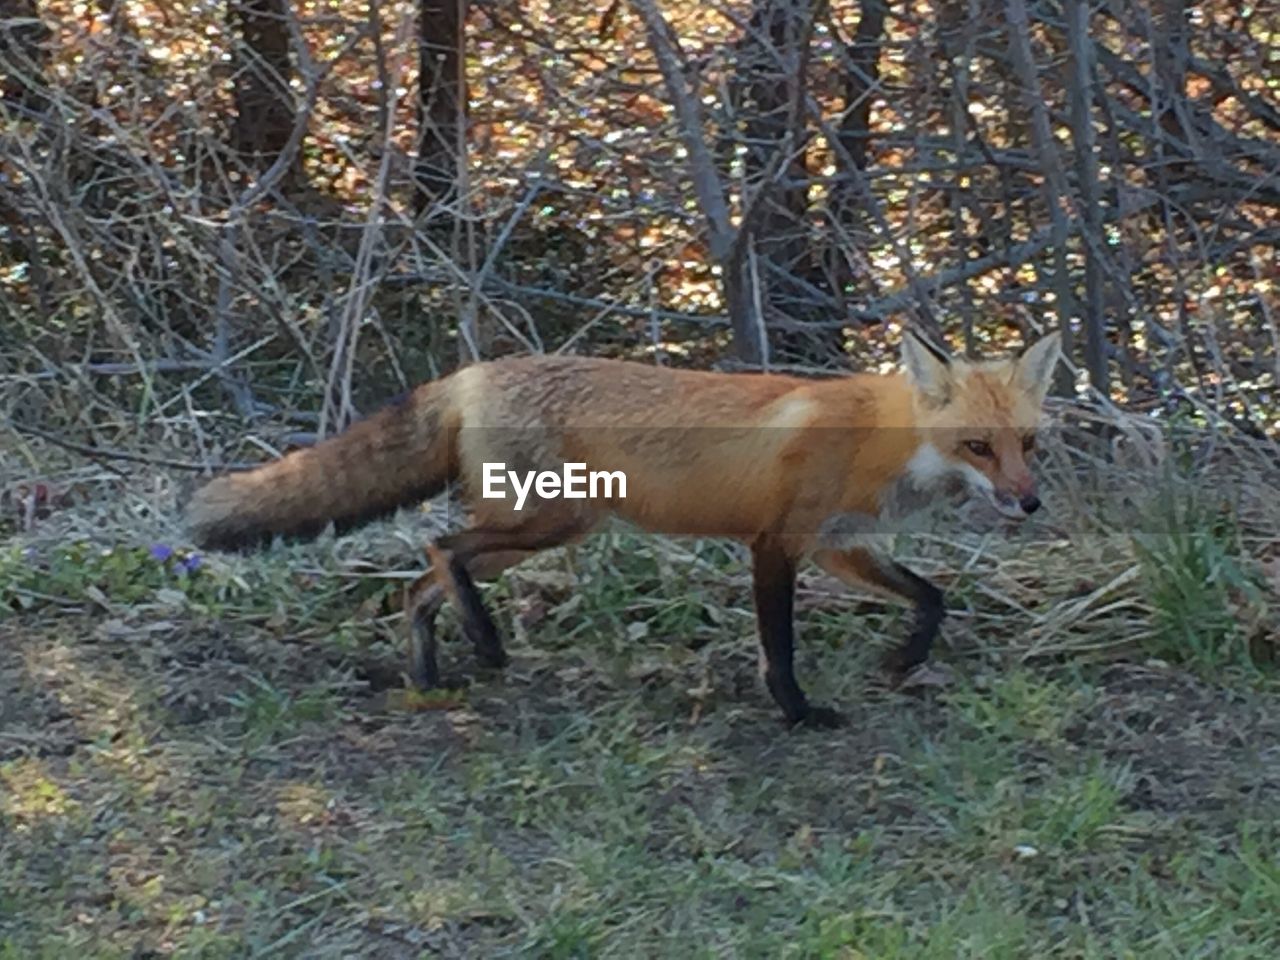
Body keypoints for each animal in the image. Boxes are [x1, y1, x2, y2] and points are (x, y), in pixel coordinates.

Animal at [189, 332, 1064, 727]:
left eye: (1028, 443)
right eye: (977, 446)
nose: (1028, 504)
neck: (878, 438)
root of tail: (474, 372)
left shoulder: (837, 544)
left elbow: (932, 596)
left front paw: (904, 660)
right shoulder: (775, 544)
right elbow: (779, 647)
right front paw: (798, 712)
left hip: (543, 529)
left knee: (418, 584)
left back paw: (432, 675)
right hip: (550, 521)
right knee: (440, 549)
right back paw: (486, 643)